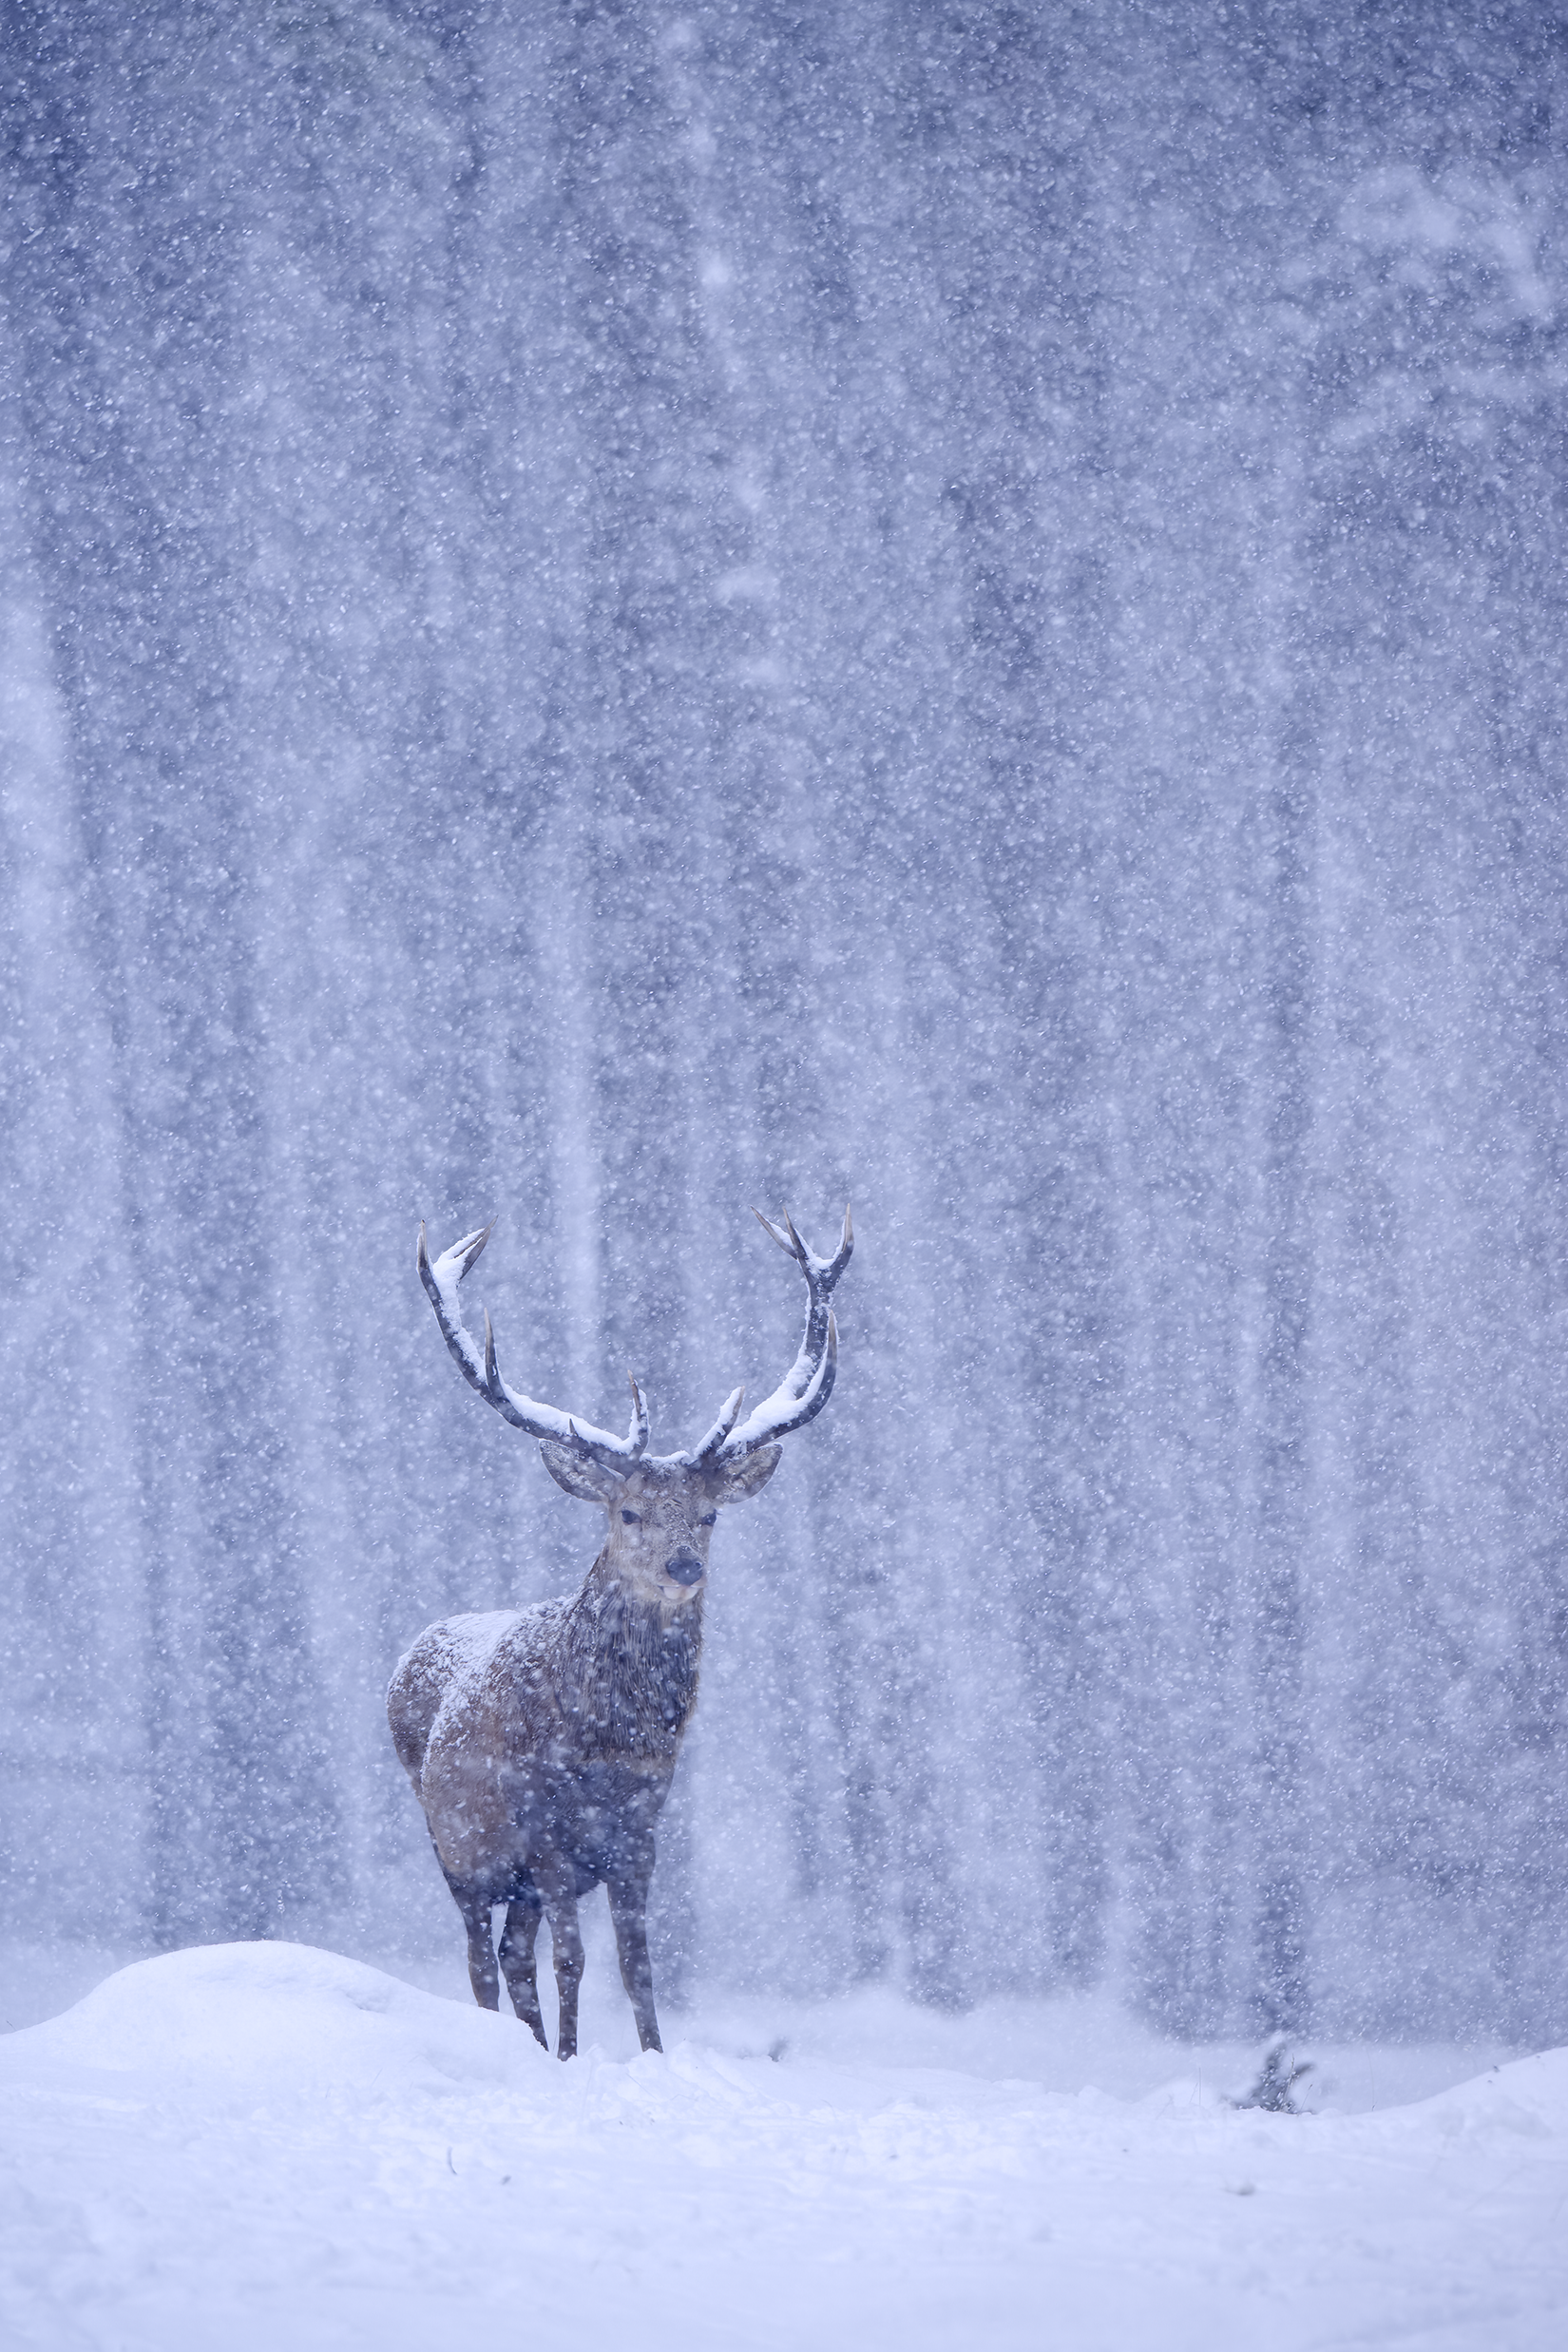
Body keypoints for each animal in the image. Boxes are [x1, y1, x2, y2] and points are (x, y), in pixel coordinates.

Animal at [388, 1204, 852, 2059]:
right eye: (628, 1511)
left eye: (708, 1515)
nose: (681, 1564)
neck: (612, 1743)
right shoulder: (549, 1835)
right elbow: (574, 1959)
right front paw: (575, 2058)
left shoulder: (639, 1834)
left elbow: (638, 1967)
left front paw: (650, 2056)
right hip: (457, 1844)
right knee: (481, 1959)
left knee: (512, 1953)